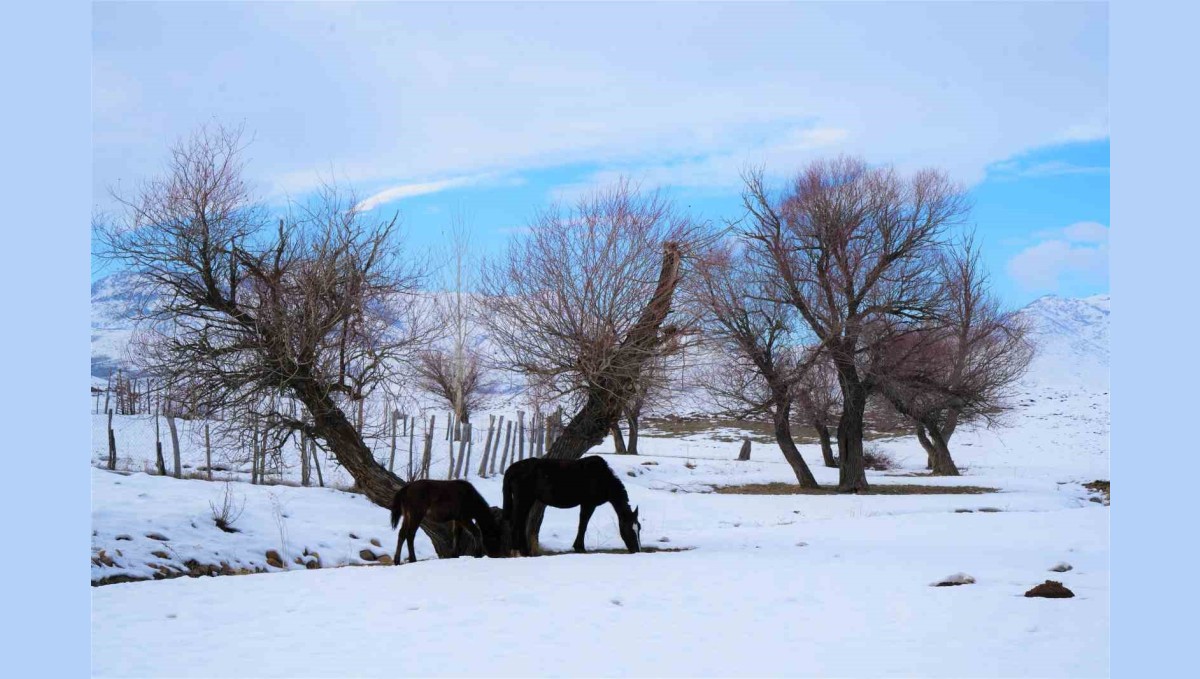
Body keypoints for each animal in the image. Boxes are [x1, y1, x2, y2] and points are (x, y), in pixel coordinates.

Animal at [501, 458, 643, 559]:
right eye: (630, 529)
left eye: (639, 528)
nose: (637, 551)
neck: (603, 478)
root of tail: (510, 469)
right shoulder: (588, 504)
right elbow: (583, 524)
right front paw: (580, 548)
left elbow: (582, 524)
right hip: (523, 500)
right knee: (515, 524)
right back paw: (519, 551)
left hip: (527, 501)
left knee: (520, 523)